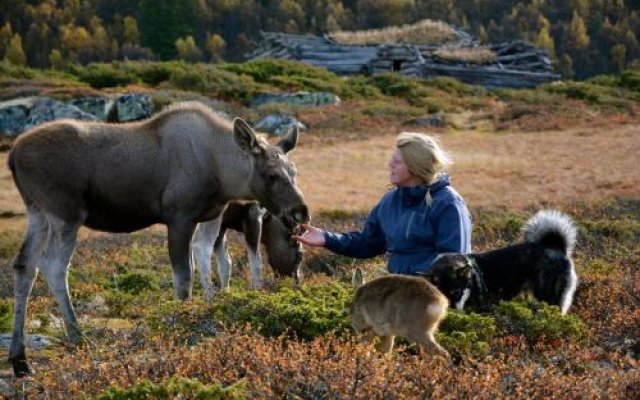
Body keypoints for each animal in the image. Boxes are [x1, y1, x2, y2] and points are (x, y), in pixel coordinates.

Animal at [8, 101, 310, 376]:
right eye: (271, 174)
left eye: (294, 171)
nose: (301, 211)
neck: (222, 174)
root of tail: (12, 156)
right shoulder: (180, 216)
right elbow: (184, 278)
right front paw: (184, 327)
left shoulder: (207, 218)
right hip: (66, 213)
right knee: (54, 267)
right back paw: (78, 338)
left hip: (37, 212)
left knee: (25, 266)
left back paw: (20, 360)